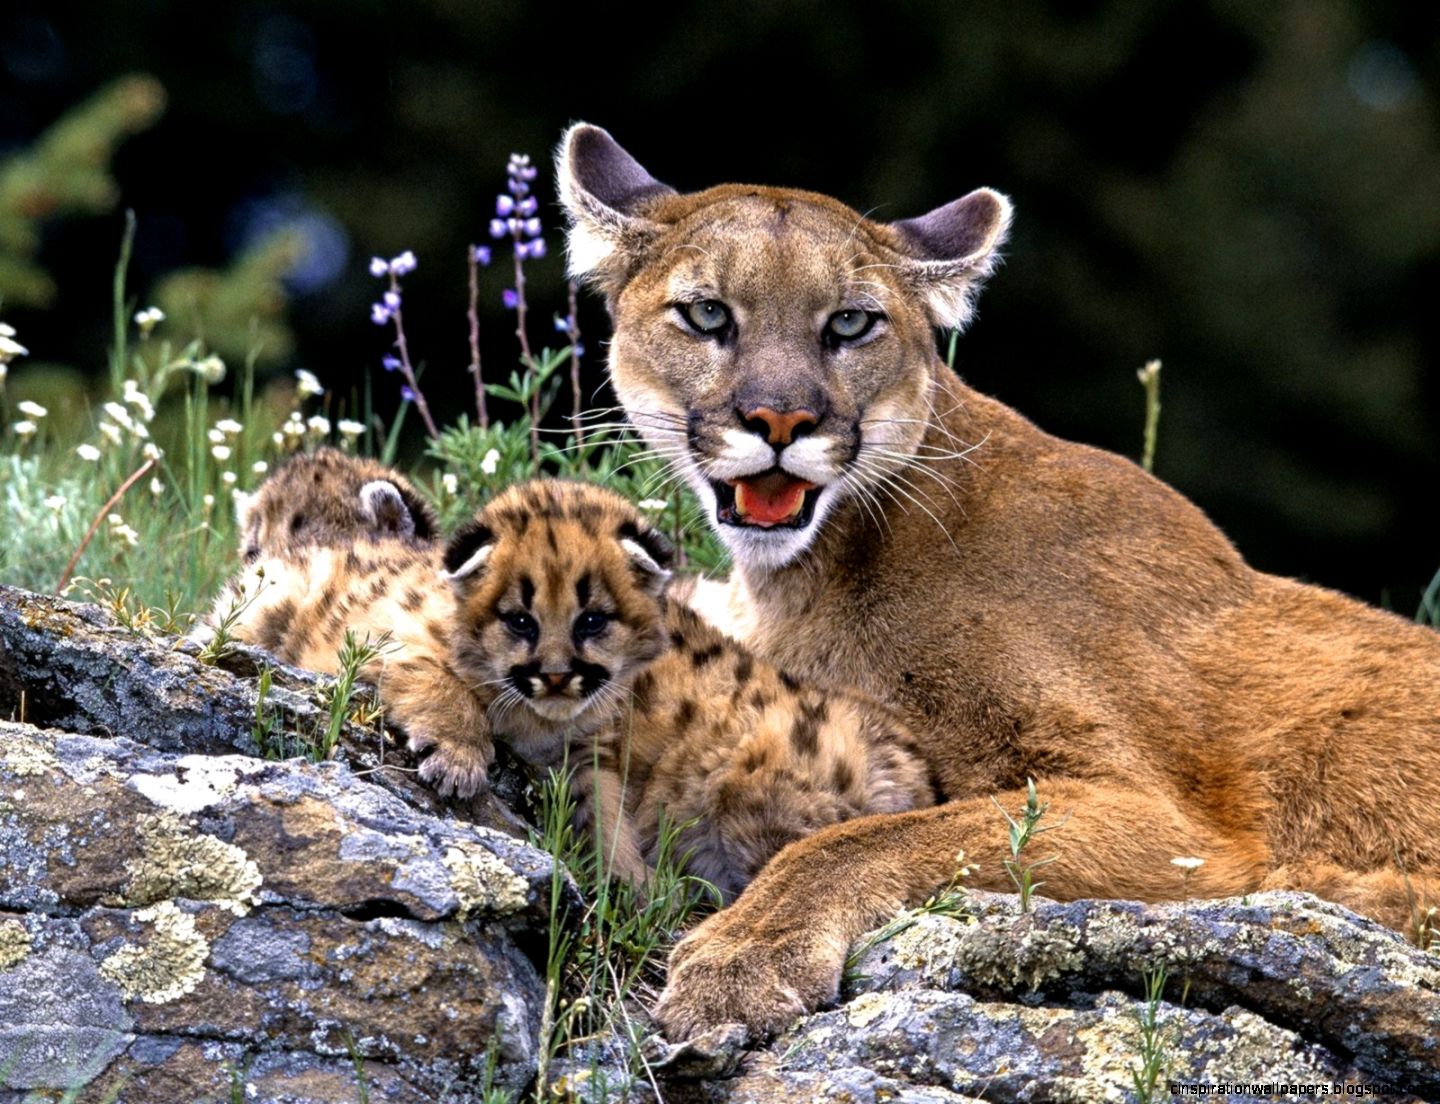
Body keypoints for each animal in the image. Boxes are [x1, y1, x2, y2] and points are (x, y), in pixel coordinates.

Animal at [556, 123, 1440, 1040]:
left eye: (850, 323)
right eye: (707, 314)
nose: (780, 419)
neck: (816, 571)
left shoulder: (1168, 820)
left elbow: (868, 839)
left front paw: (744, 955)